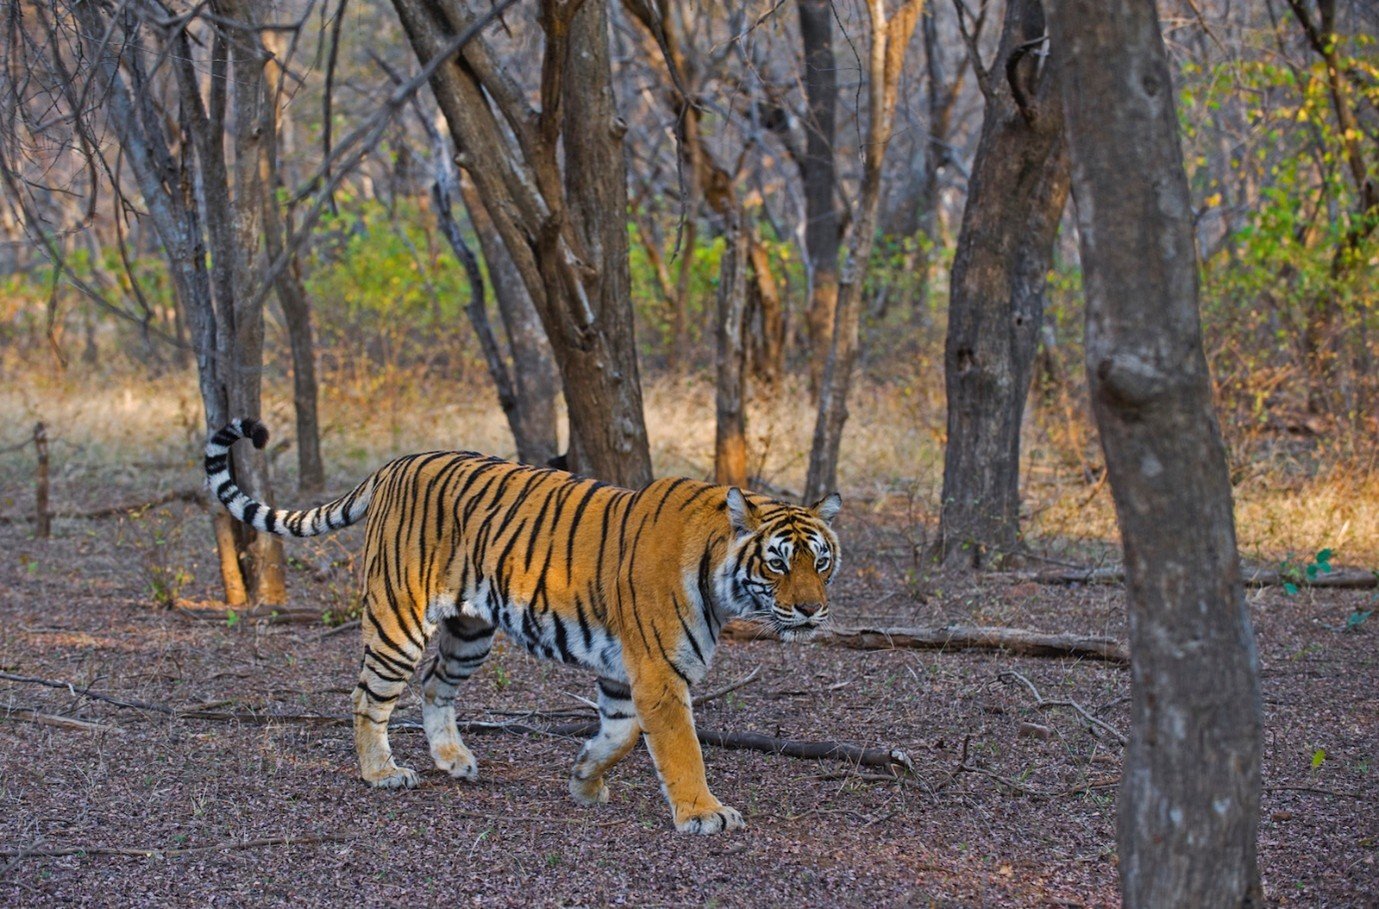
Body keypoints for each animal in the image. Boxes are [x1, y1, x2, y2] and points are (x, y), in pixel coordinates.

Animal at [205, 418, 842, 834]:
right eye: (778, 562)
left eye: (821, 561)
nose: (813, 610)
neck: (717, 577)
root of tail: (395, 464)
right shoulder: (659, 674)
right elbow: (682, 748)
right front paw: (704, 814)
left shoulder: (625, 673)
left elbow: (620, 734)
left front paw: (585, 780)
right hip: (398, 620)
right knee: (368, 696)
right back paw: (381, 772)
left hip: (468, 632)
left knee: (434, 686)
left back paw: (453, 760)